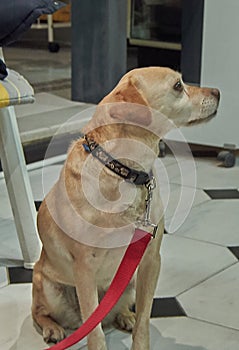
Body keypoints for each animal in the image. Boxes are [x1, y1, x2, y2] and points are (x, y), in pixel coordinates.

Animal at [32, 67, 220, 348]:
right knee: (43, 313)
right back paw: (53, 329)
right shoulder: (84, 267)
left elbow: (144, 318)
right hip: (48, 286)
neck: (123, 171)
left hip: (129, 282)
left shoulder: (151, 260)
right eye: (178, 85)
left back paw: (124, 317)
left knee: (119, 309)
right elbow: (95, 331)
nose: (218, 91)